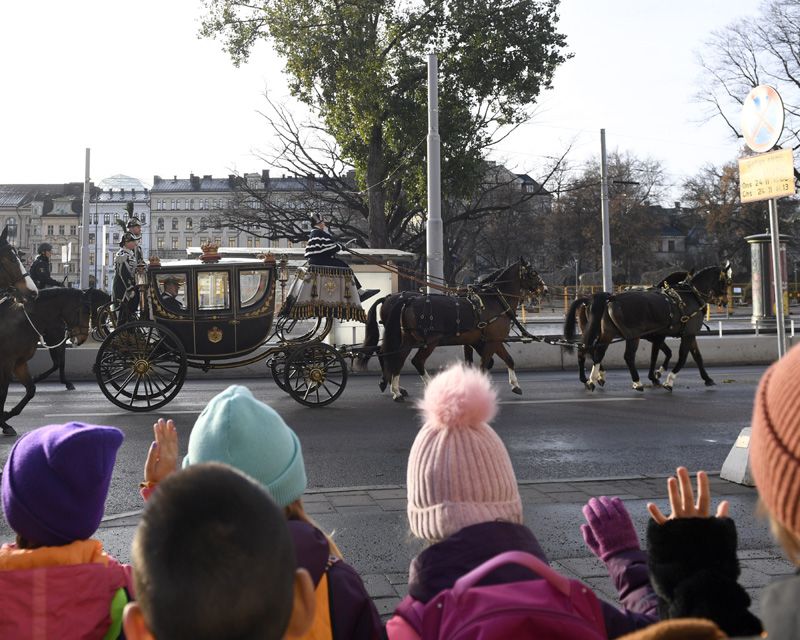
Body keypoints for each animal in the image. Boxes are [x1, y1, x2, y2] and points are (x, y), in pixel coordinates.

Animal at [0, 288, 93, 436]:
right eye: (85, 311)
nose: (83, 338)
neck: (19, 323)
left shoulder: (19, 363)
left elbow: (31, 390)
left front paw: (6, 416)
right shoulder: (7, 363)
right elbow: (3, 392)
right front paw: (3, 422)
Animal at [360, 258, 548, 400]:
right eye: (533, 273)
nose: (545, 289)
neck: (493, 300)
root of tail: (407, 300)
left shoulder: (488, 341)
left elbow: (507, 360)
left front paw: (515, 385)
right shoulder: (492, 341)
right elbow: (484, 364)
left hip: (407, 339)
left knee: (396, 358)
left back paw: (396, 390)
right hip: (429, 341)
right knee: (415, 361)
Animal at [580, 264, 732, 390]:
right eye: (725, 282)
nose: (725, 301)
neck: (689, 296)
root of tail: (612, 298)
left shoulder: (682, 335)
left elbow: (696, 356)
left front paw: (707, 378)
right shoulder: (686, 335)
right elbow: (682, 357)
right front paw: (668, 380)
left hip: (608, 333)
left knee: (598, 353)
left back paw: (593, 379)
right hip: (632, 336)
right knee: (628, 356)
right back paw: (636, 382)